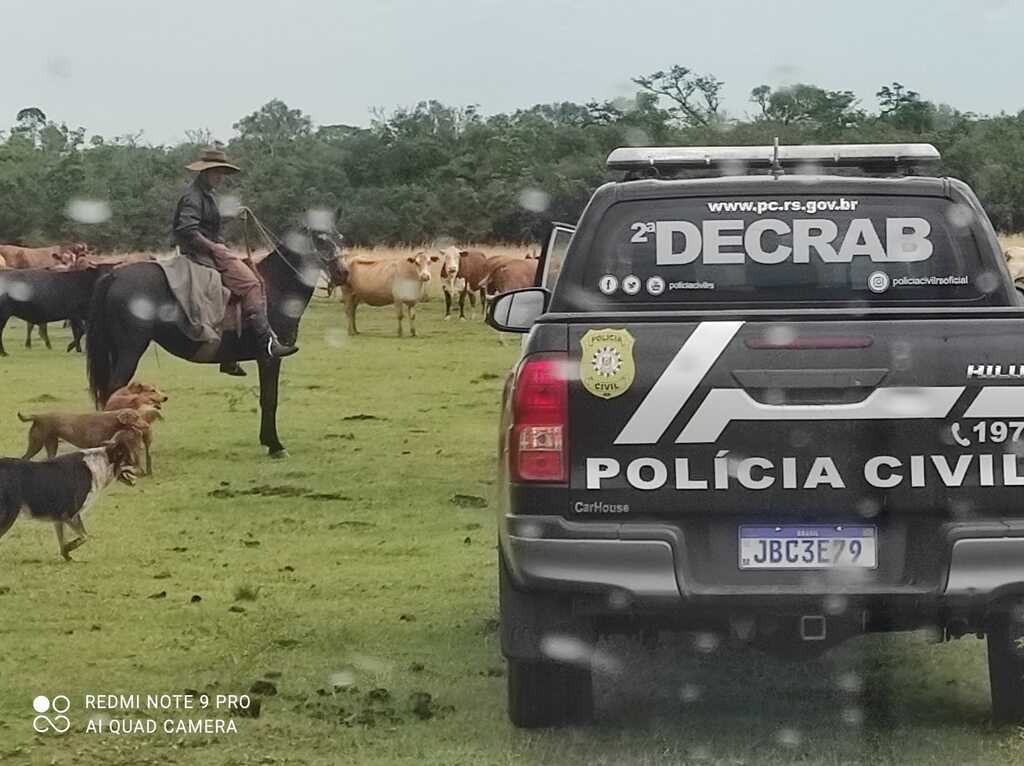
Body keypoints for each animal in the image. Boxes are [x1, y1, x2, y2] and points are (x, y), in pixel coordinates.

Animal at [0, 434, 138, 561]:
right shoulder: (71, 514)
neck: (101, 465)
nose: (142, 472)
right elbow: (85, 536)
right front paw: (70, 548)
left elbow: (64, 541)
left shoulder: (60, 519)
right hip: (9, 516)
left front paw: (67, 556)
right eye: (131, 461)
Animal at [86, 227, 346, 454]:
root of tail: (115, 274)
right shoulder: (270, 358)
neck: (276, 286)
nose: (343, 273)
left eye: (338, 237)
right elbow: (269, 399)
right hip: (130, 352)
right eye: (320, 240)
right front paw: (274, 445)